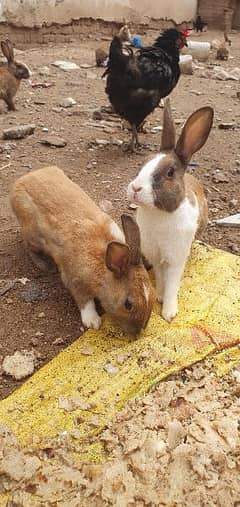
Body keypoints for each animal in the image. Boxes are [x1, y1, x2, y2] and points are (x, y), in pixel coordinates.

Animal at [10, 167, 155, 338]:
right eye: (128, 304)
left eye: (153, 295)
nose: (137, 334)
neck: (103, 267)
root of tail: (19, 183)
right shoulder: (74, 280)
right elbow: (85, 301)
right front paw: (93, 322)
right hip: (32, 234)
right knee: (29, 246)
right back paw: (45, 265)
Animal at [127, 97, 214, 324]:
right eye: (141, 164)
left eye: (170, 172)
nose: (135, 188)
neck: (158, 214)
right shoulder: (155, 255)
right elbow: (159, 276)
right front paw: (159, 295)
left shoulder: (176, 257)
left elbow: (173, 282)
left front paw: (169, 312)